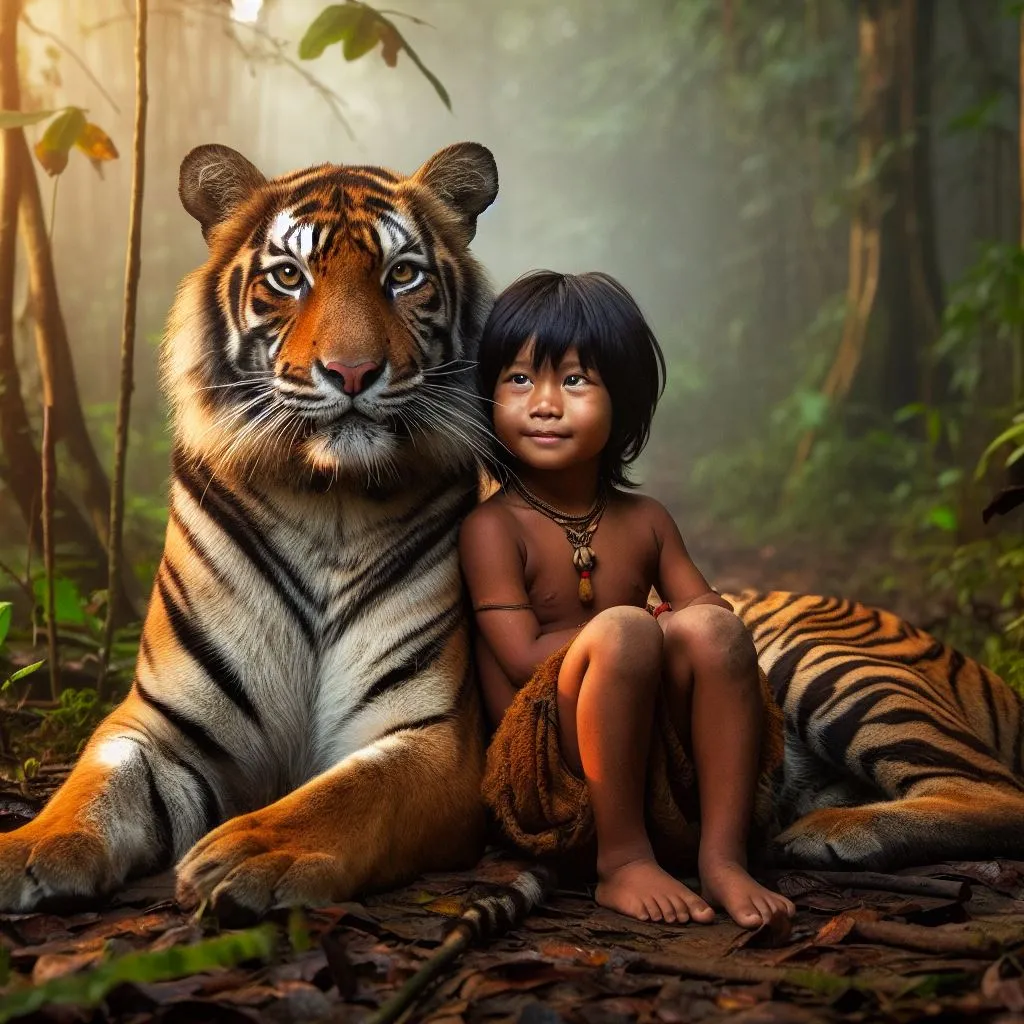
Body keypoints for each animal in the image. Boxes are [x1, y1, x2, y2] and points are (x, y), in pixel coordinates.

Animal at [0, 140, 499, 917]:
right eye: (289, 276)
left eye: (403, 274)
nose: (352, 371)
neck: (331, 502)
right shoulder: (163, 721)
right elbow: (98, 778)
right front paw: (29, 845)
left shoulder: (432, 733)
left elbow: (355, 792)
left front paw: (248, 853)